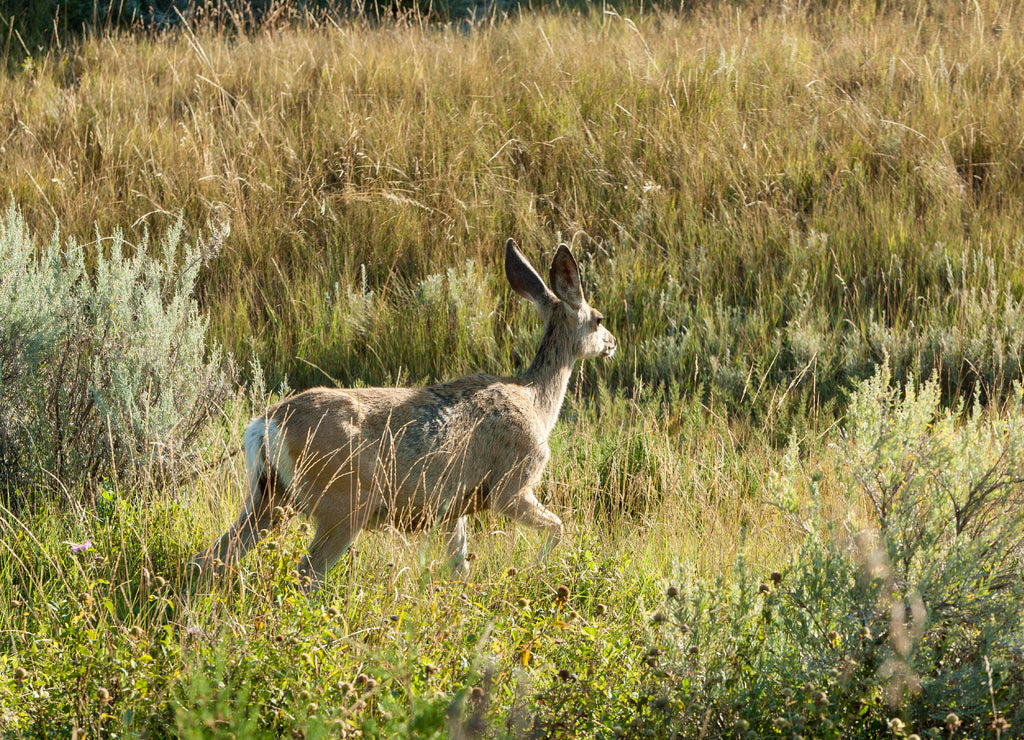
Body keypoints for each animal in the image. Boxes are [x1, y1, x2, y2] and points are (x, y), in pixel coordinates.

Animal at [192, 240, 614, 593]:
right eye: (598, 318)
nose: (611, 343)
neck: (536, 401)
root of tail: (264, 425)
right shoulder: (511, 484)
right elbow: (559, 527)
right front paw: (538, 570)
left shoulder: (452, 508)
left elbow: (459, 565)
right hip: (341, 502)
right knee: (306, 573)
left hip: (270, 497)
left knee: (212, 556)